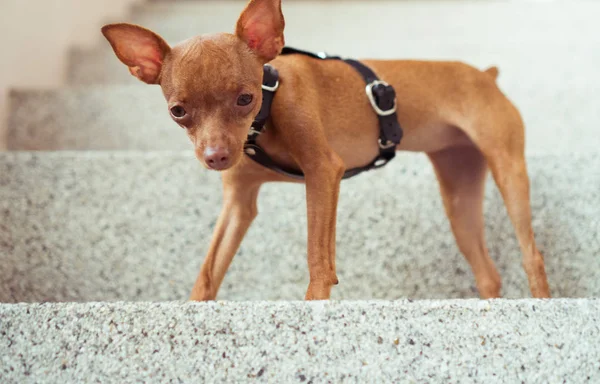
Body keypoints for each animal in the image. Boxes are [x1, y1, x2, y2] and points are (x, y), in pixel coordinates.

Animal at [101, 0, 552, 302]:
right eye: (178, 111)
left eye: (245, 99)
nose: (216, 157)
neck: (267, 110)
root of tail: (486, 75)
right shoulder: (238, 203)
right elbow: (209, 269)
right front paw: (195, 306)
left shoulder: (322, 172)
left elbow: (318, 255)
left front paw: (314, 303)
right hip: (459, 198)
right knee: (489, 274)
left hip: (509, 173)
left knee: (532, 255)